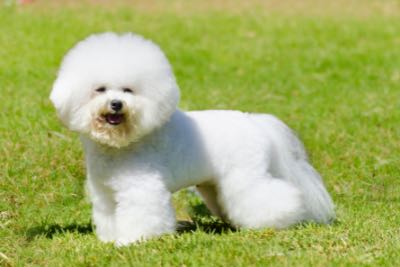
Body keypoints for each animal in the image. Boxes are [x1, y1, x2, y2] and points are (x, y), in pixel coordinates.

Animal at [50, 32, 334, 246]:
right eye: (100, 89)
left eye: (128, 90)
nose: (116, 104)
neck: (122, 144)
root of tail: (255, 123)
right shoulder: (106, 192)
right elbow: (109, 216)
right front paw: (110, 240)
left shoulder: (141, 188)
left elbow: (142, 215)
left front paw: (133, 241)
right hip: (214, 185)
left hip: (245, 176)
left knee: (270, 196)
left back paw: (273, 222)